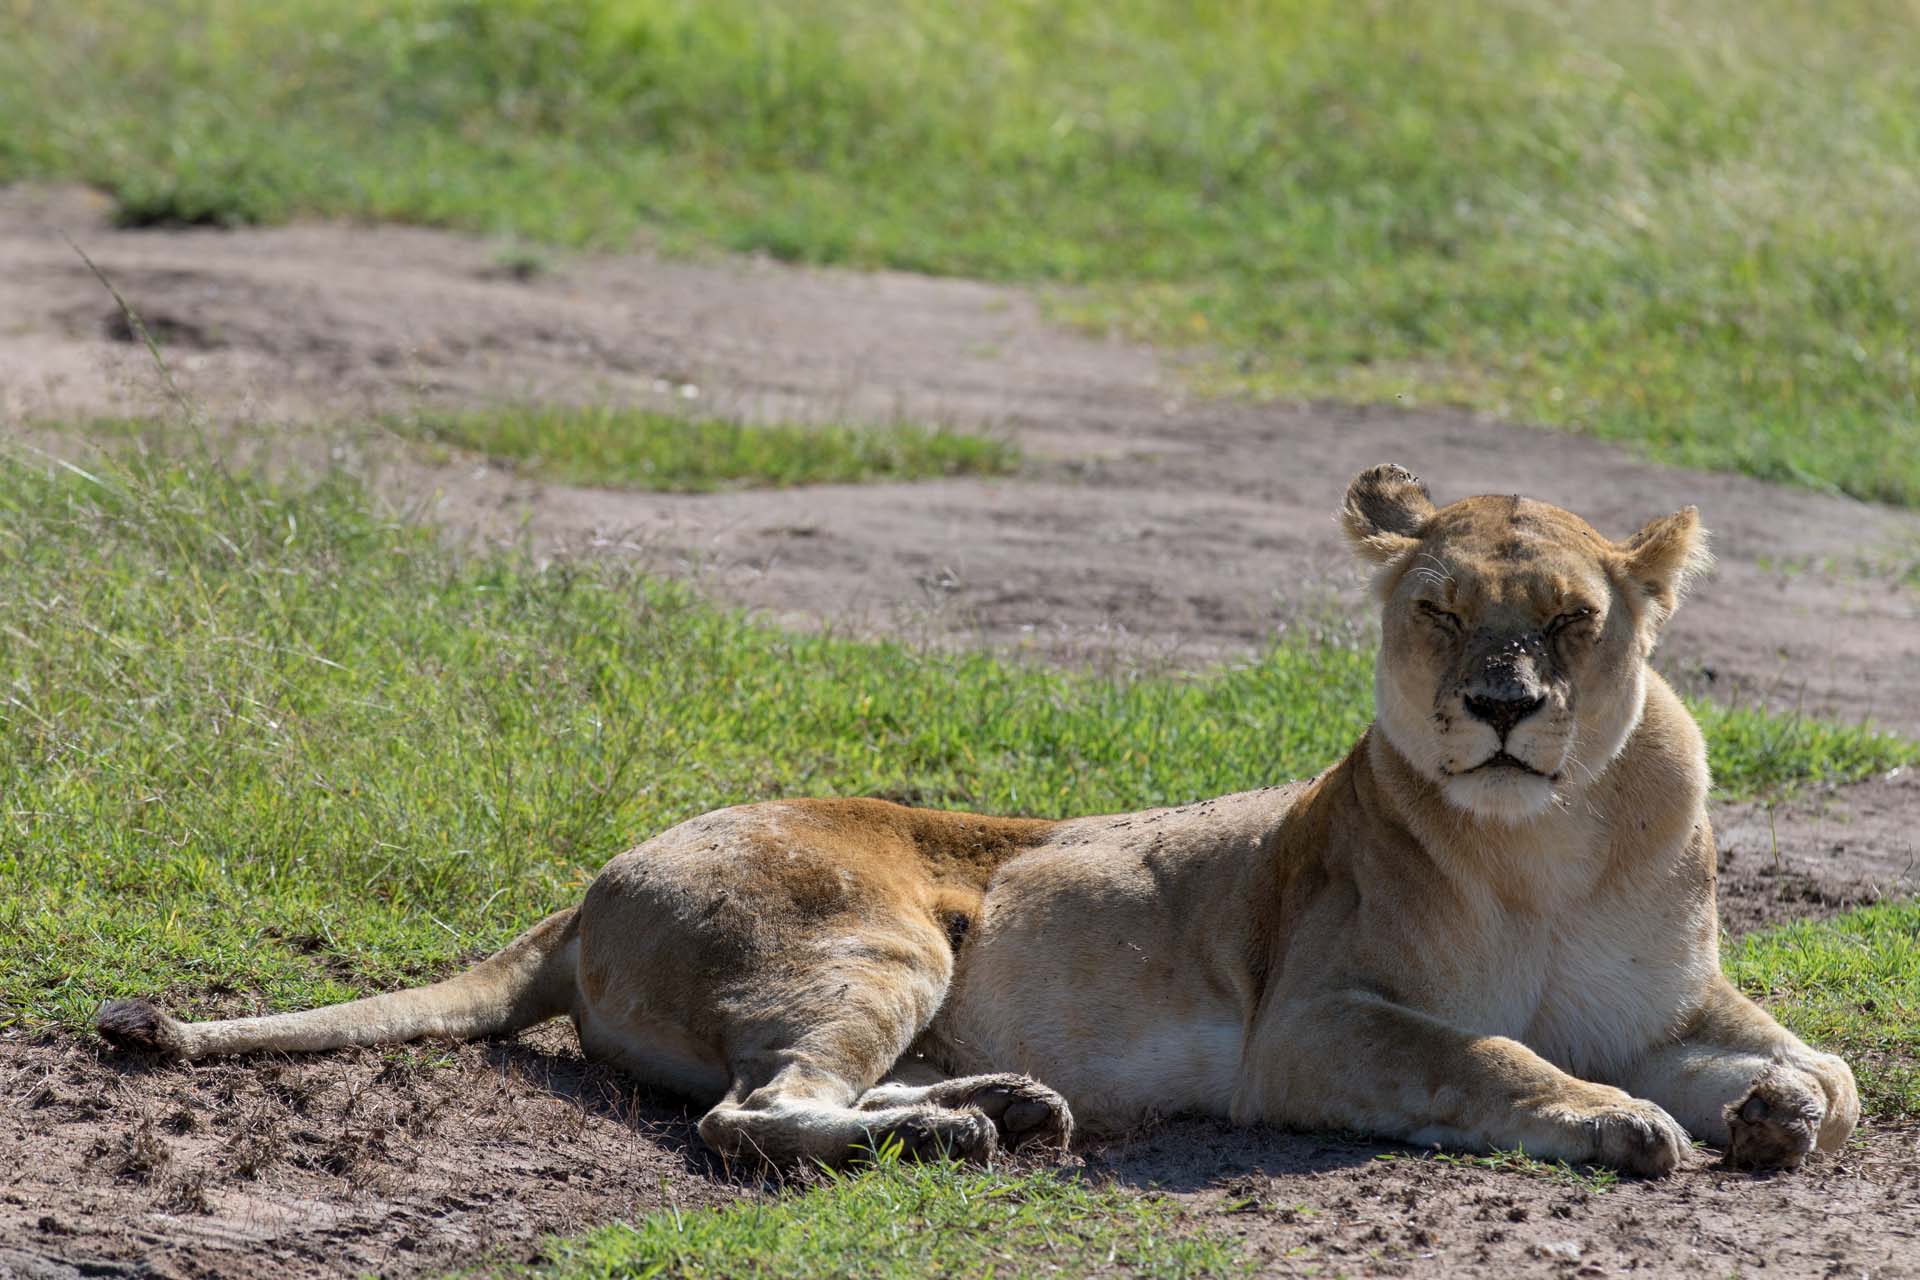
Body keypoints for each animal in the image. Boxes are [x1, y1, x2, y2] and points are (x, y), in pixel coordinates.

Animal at [97, 464, 1858, 1174]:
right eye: (1439, 612)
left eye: (1563, 621)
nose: (1498, 708)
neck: (1545, 845)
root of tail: (602, 868)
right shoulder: (1313, 1022)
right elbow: (1488, 1057)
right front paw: (1620, 1124)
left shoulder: (1673, 1002)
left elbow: (1819, 1064)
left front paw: (1777, 1109)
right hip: (870, 941)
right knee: (749, 1118)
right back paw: (959, 1129)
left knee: (768, 1099)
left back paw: (1000, 1105)